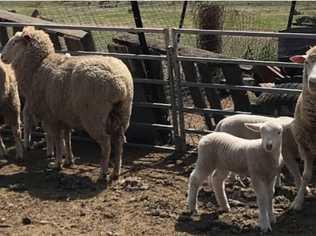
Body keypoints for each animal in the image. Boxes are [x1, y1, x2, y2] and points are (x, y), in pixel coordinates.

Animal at [0, 26, 133, 180]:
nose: (2, 56)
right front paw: (69, 160)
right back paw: (115, 172)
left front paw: (57, 163)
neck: (37, 66)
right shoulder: (64, 114)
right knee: (119, 142)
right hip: (122, 114)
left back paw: (103, 173)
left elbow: (58, 140)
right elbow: (67, 138)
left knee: (106, 143)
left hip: (94, 117)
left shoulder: (51, 116)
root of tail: (120, 84)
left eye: (15, 42)